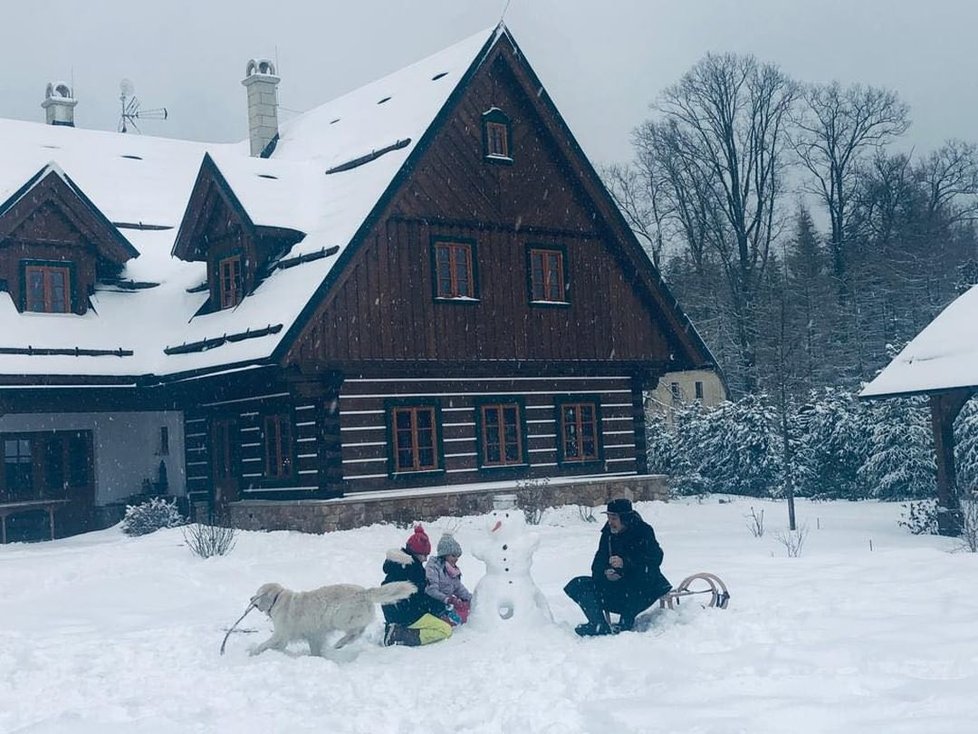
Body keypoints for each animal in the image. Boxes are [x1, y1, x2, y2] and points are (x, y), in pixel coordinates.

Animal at [246, 584, 414, 660]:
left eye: (258, 594)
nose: (250, 598)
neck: (277, 599)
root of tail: (364, 592)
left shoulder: (281, 635)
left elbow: (265, 644)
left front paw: (253, 652)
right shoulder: (314, 635)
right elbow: (315, 650)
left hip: (339, 617)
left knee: (356, 631)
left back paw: (340, 642)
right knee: (360, 630)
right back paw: (342, 643)